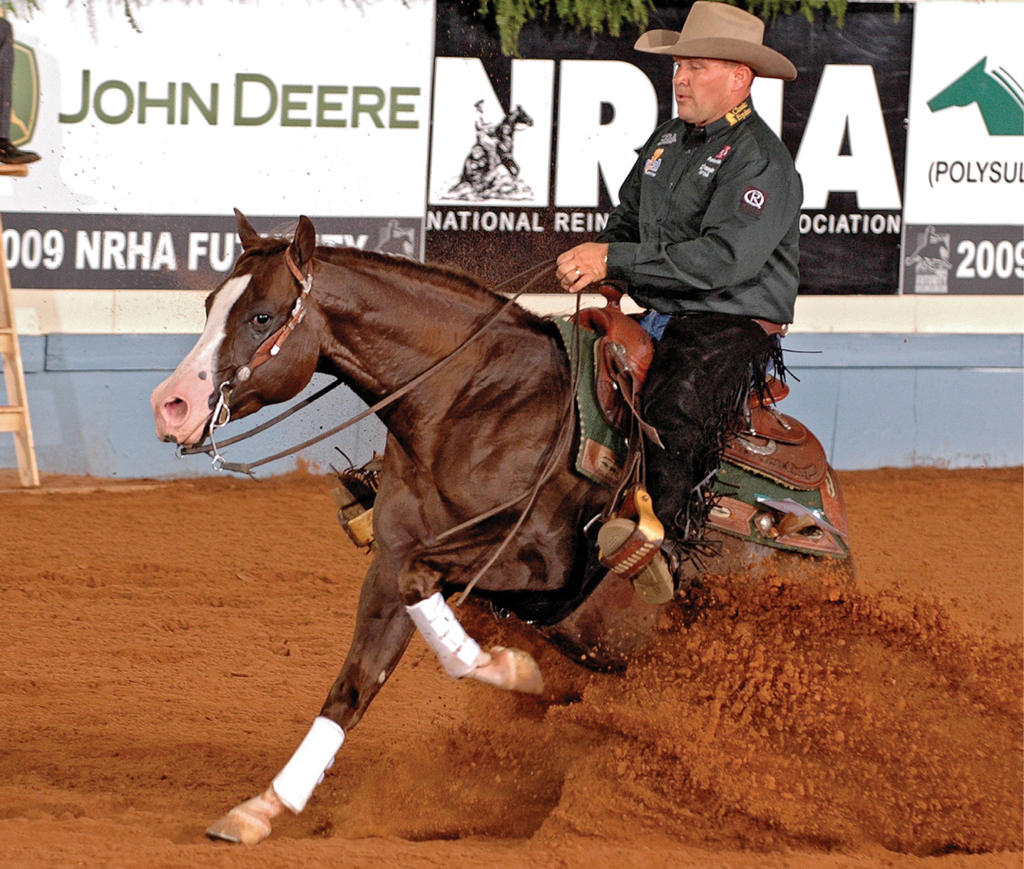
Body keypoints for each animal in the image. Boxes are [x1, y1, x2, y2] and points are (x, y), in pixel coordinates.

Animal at [150, 210, 852, 845]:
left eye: (262, 317)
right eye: (210, 304)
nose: (171, 404)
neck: (469, 403)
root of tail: (829, 530)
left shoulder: (544, 566)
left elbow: (425, 584)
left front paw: (508, 668)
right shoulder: (390, 564)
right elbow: (353, 686)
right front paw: (262, 808)